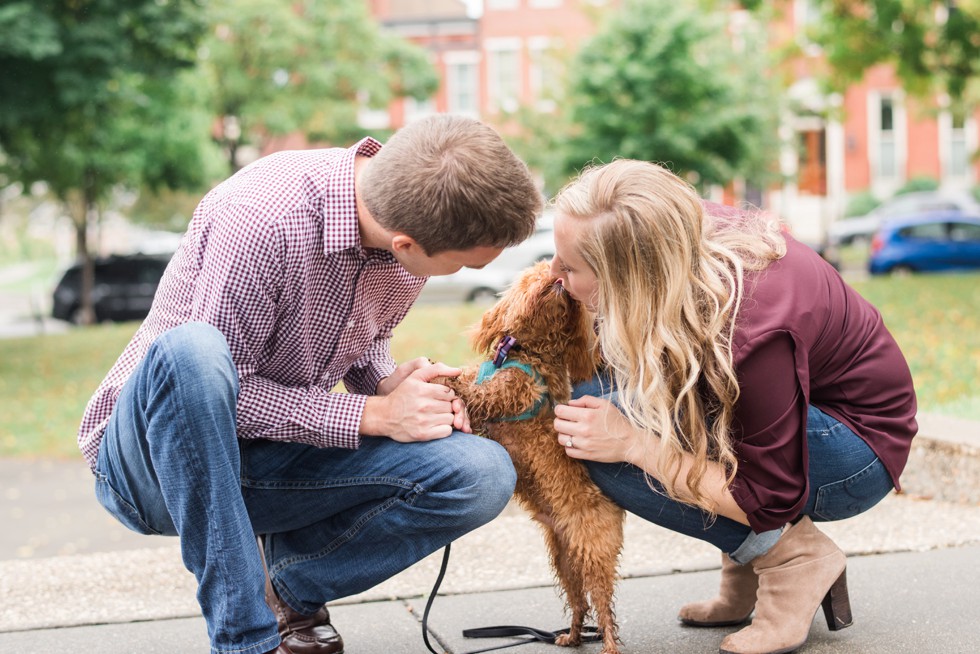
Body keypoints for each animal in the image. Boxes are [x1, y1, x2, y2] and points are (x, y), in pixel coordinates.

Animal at [442, 262, 624, 654]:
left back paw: (609, 645)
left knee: (603, 606)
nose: (556, 280)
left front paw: (440, 376)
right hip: (564, 558)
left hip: (593, 553)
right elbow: (469, 379)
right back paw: (572, 636)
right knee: (579, 602)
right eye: (532, 276)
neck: (524, 354)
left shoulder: (509, 393)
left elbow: (472, 391)